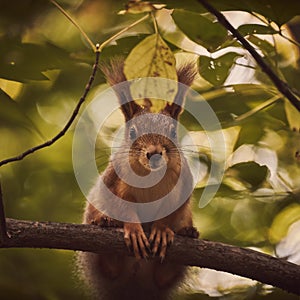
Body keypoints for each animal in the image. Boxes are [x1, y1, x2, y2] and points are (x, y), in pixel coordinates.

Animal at [77, 58, 199, 300]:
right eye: (132, 133)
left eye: (173, 131)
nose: (154, 153)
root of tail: (134, 287)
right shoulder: (114, 181)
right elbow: (122, 207)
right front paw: (133, 229)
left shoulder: (183, 186)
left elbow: (171, 213)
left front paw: (161, 230)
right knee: (109, 267)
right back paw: (105, 223)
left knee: (163, 277)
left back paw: (188, 233)